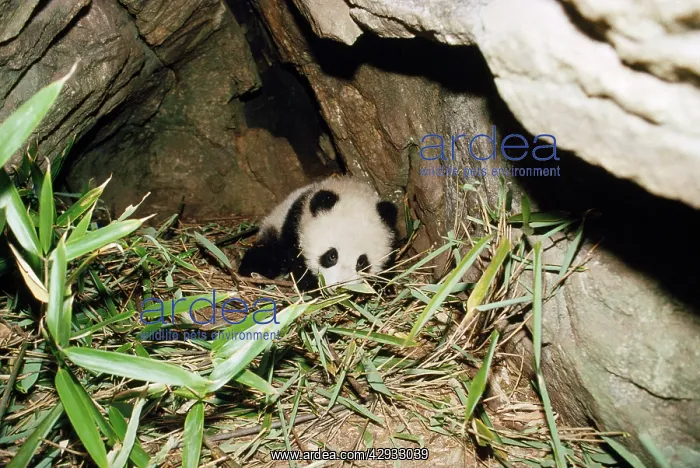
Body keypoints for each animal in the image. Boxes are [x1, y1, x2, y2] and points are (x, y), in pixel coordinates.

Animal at [238, 177, 399, 291]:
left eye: (362, 262)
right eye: (331, 256)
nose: (340, 287)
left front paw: (384, 287)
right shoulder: (294, 228)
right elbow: (297, 263)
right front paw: (311, 286)